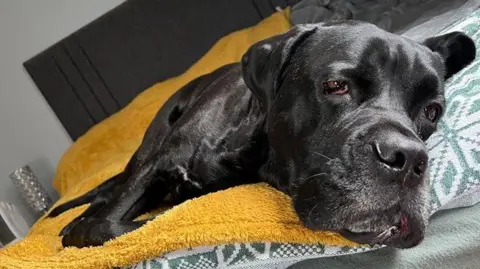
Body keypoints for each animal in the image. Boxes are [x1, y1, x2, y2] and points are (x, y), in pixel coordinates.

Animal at [49, 20, 476, 247]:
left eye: (432, 111)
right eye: (337, 86)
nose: (409, 158)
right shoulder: (158, 164)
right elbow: (114, 224)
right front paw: (83, 226)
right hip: (148, 147)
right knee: (111, 191)